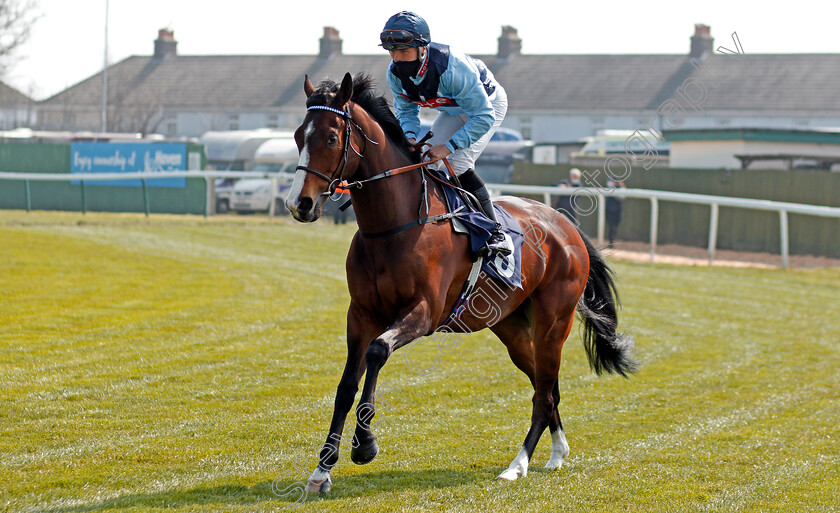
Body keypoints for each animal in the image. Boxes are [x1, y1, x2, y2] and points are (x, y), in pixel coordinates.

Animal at [284, 72, 636, 492]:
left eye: (330, 138)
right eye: (298, 135)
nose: (299, 204)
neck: (395, 225)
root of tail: (567, 227)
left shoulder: (424, 313)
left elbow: (378, 352)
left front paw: (365, 445)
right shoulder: (361, 314)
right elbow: (346, 386)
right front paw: (322, 470)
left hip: (554, 323)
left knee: (543, 394)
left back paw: (518, 464)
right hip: (512, 328)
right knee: (546, 387)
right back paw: (556, 453)